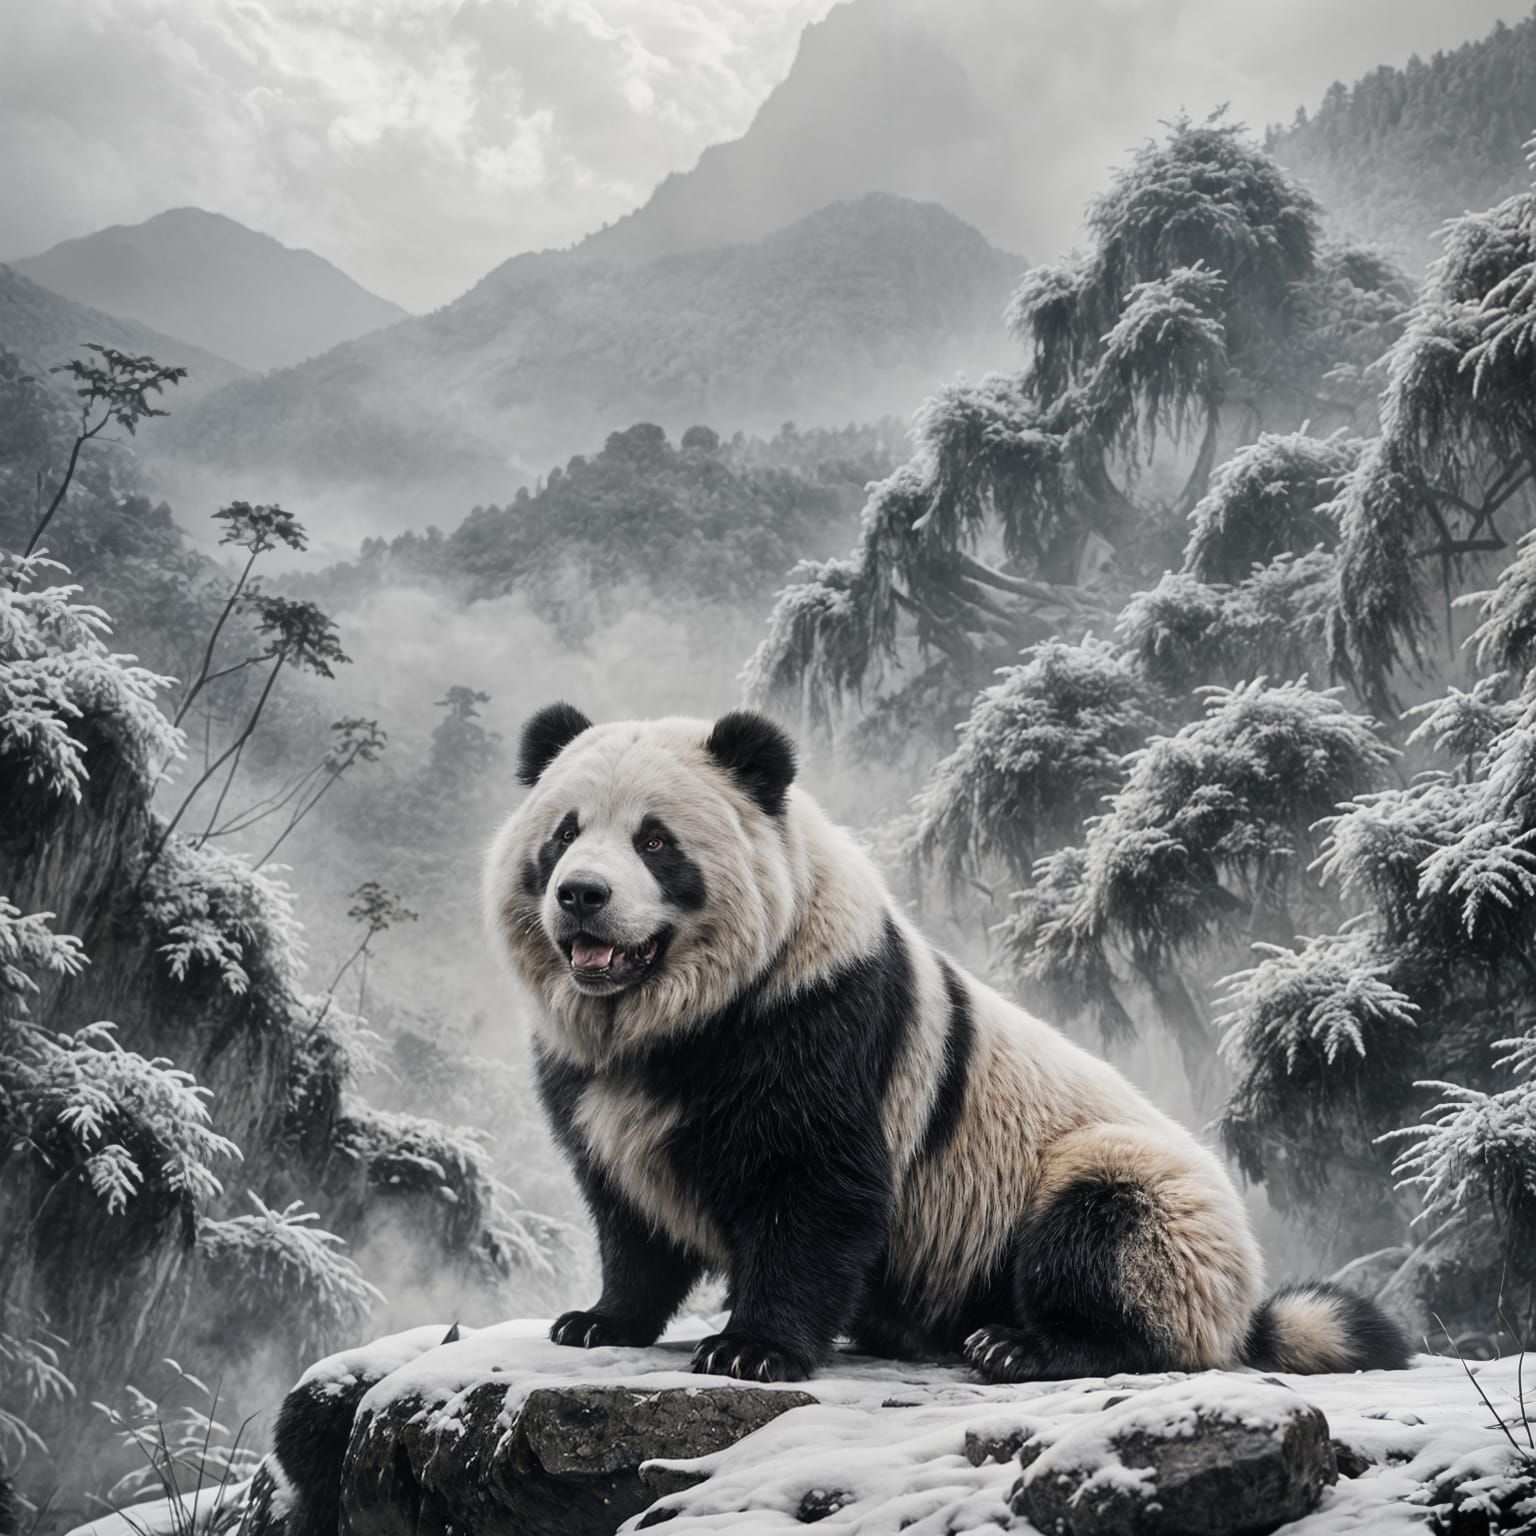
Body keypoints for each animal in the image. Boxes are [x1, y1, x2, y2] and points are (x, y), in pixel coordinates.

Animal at [485, 703, 1410, 1385]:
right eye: (563, 833)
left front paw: (751, 1348)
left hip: (1134, 1190)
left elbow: (816, 1185)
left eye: (655, 841)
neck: (664, 1017)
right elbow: (628, 1212)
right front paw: (599, 1320)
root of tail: (1245, 1308)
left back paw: (1021, 1345)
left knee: (1109, 1233)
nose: (582, 895)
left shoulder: (821, 1011)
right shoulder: (593, 1079)